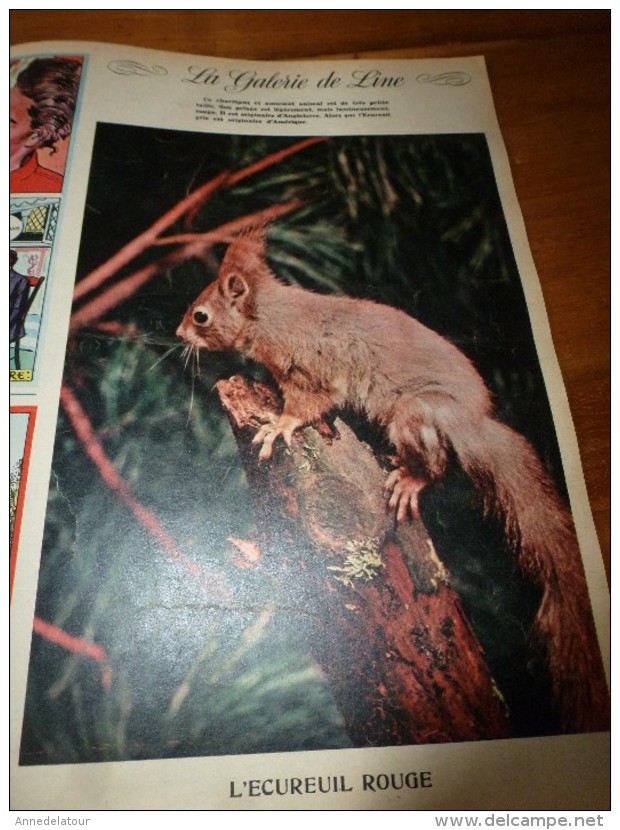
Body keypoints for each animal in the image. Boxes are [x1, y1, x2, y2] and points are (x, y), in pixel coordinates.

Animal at [176, 228, 612, 736]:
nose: (177, 334)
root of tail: (474, 423)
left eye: (201, 314)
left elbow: (305, 406)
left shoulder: (313, 372)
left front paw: (278, 425)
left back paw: (410, 479)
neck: (272, 316)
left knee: (436, 465)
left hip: (413, 417)